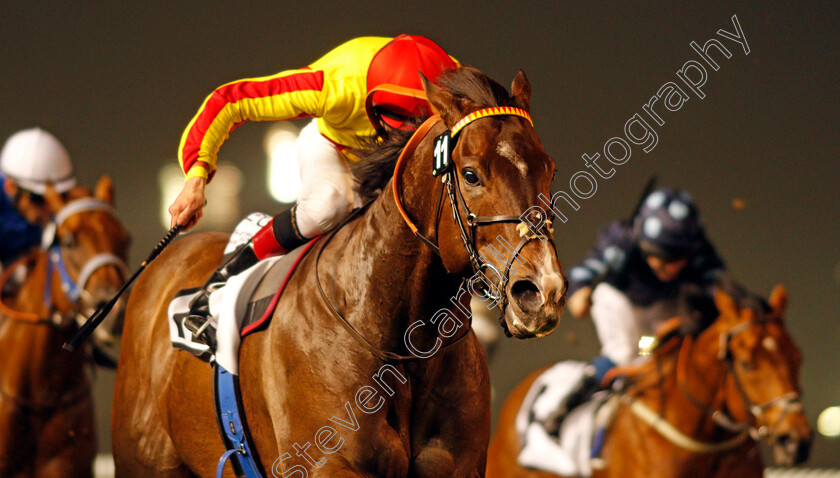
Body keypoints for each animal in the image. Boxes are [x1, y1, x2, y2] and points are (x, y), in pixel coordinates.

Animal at [111, 65, 568, 476]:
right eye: (471, 174)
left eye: (549, 168)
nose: (541, 291)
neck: (401, 343)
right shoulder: (328, 464)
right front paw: (190, 192)